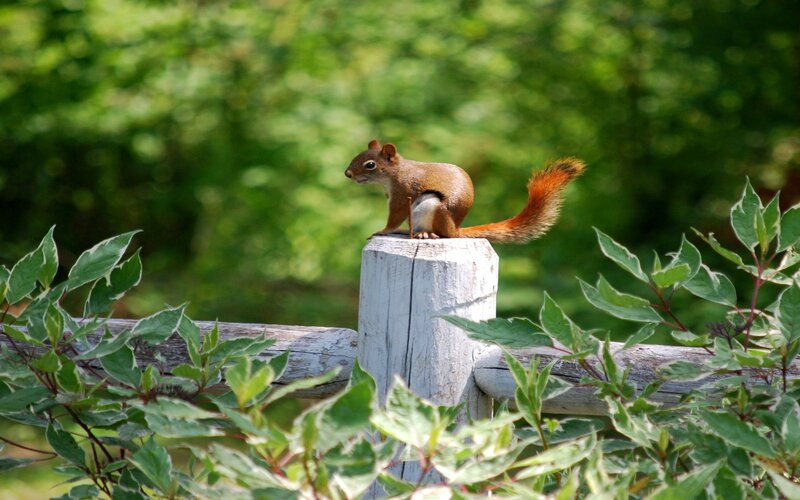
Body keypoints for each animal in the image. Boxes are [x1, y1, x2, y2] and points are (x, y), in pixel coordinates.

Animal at [345, 140, 585, 243]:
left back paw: (424, 234)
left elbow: (394, 216)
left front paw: (382, 231)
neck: (393, 175)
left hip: (432, 206)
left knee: (441, 234)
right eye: (357, 155)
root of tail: (455, 229)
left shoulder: (403, 194)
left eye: (370, 165)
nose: (347, 174)